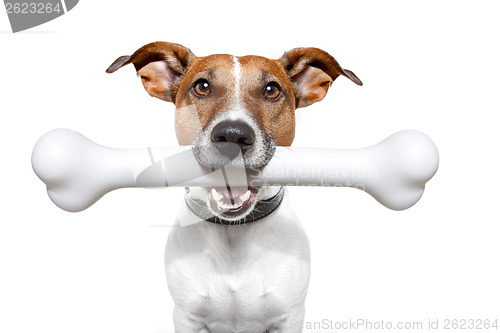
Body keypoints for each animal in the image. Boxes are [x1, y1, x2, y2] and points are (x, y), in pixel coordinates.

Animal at [107, 42, 362, 332]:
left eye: (271, 90)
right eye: (202, 86)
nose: (233, 135)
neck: (233, 233)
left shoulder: (290, 317)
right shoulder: (186, 317)